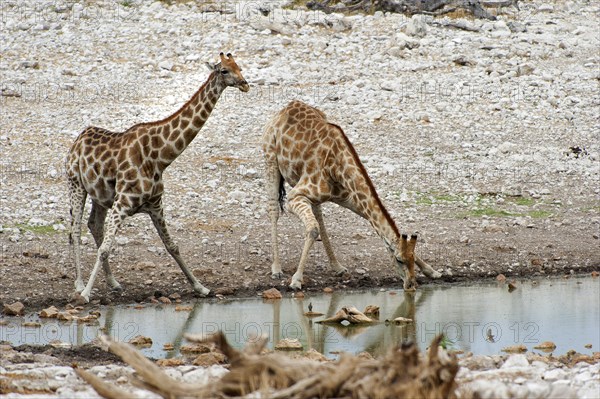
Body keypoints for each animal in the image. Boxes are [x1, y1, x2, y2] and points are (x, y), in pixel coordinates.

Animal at [67, 53, 250, 304]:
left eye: (239, 67)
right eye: (224, 70)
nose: (245, 84)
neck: (160, 157)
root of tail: (78, 138)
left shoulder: (155, 205)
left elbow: (172, 246)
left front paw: (201, 287)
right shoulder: (122, 203)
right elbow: (105, 248)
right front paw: (85, 294)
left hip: (100, 196)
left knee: (94, 225)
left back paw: (113, 282)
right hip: (75, 184)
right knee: (75, 230)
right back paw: (79, 284)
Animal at [262, 101, 440, 292]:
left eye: (412, 258)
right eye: (399, 259)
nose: (411, 285)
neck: (337, 167)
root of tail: (284, 109)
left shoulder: (349, 197)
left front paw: (432, 271)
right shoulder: (294, 197)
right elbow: (312, 229)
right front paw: (296, 280)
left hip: (310, 192)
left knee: (318, 216)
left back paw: (337, 266)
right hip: (270, 159)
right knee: (274, 210)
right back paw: (276, 269)